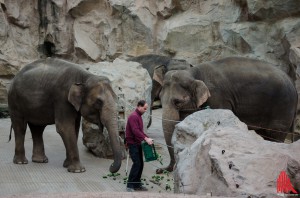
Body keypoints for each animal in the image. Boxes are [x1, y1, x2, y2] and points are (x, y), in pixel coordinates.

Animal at [154, 56, 298, 173]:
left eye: (178, 102)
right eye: (160, 98)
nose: (160, 170)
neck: (194, 73)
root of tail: (294, 85)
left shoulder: (218, 98)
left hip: (282, 109)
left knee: (274, 136)